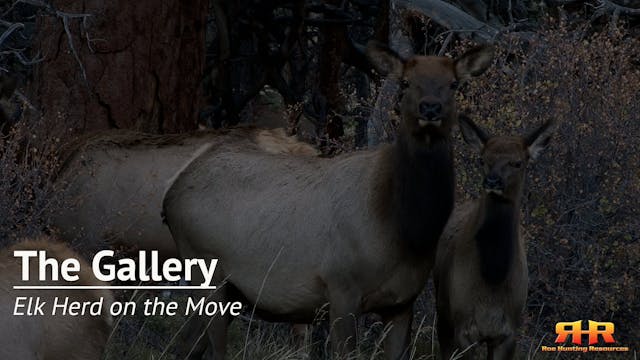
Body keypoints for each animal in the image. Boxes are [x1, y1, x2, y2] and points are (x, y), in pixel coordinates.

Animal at [162, 40, 492, 358]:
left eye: (453, 83)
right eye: (406, 82)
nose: (430, 108)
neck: (405, 230)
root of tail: (171, 196)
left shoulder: (402, 302)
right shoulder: (341, 287)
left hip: (231, 291)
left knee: (185, 346)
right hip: (206, 272)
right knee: (213, 349)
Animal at [436, 116, 556, 360]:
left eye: (518, 162)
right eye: (482, 159)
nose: (492, 181)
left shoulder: (508, 332)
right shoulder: (463, 326)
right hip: (443, 312)